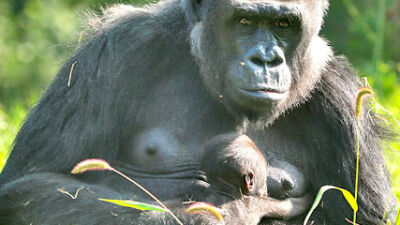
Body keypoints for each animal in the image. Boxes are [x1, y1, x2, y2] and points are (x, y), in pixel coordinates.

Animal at [0, 0, 396, 224]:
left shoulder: (344, 100)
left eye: (283, 24)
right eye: (244, 21)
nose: (266, 60)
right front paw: (209, 216)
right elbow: (31, 184)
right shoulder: (120, 46)